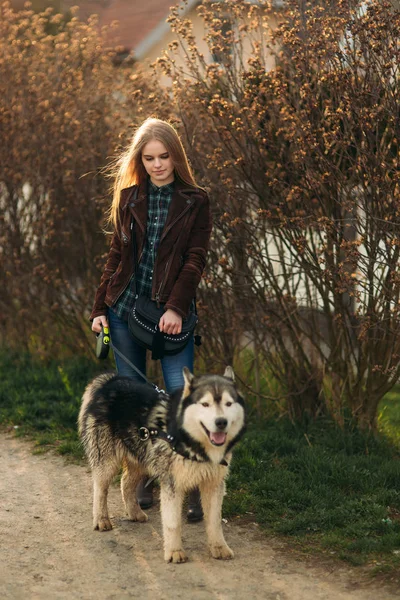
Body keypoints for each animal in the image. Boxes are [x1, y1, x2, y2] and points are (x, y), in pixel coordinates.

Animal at [78, 366, 245, 564]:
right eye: (205, 404)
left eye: (228, 404)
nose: (221, 422)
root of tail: (109, 381)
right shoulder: (172, 484)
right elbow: (173, 522)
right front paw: (174, 552)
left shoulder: (214, 484)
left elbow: (214, 521)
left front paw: (219, 547)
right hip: (108, 461)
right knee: (100, 489)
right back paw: (101, 519)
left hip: (141, 457)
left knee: (125, 483)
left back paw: (134, 512)